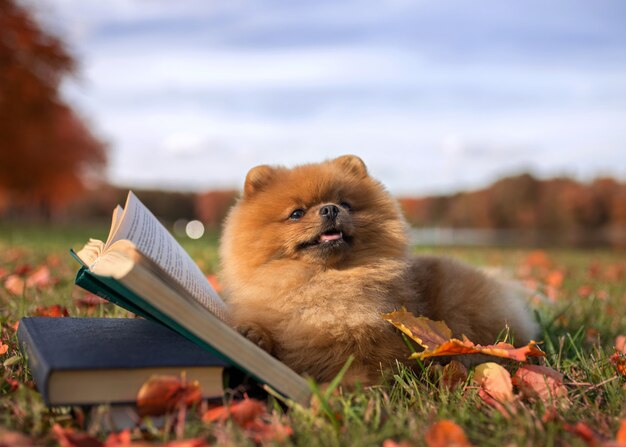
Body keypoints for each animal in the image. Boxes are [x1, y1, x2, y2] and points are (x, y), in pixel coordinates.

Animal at [219, 155, 536, 384]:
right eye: (296, 213)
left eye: (345, 204)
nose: (330, 209)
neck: (323, 282)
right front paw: (253, 335)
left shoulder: (378, 348)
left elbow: (361, 371)